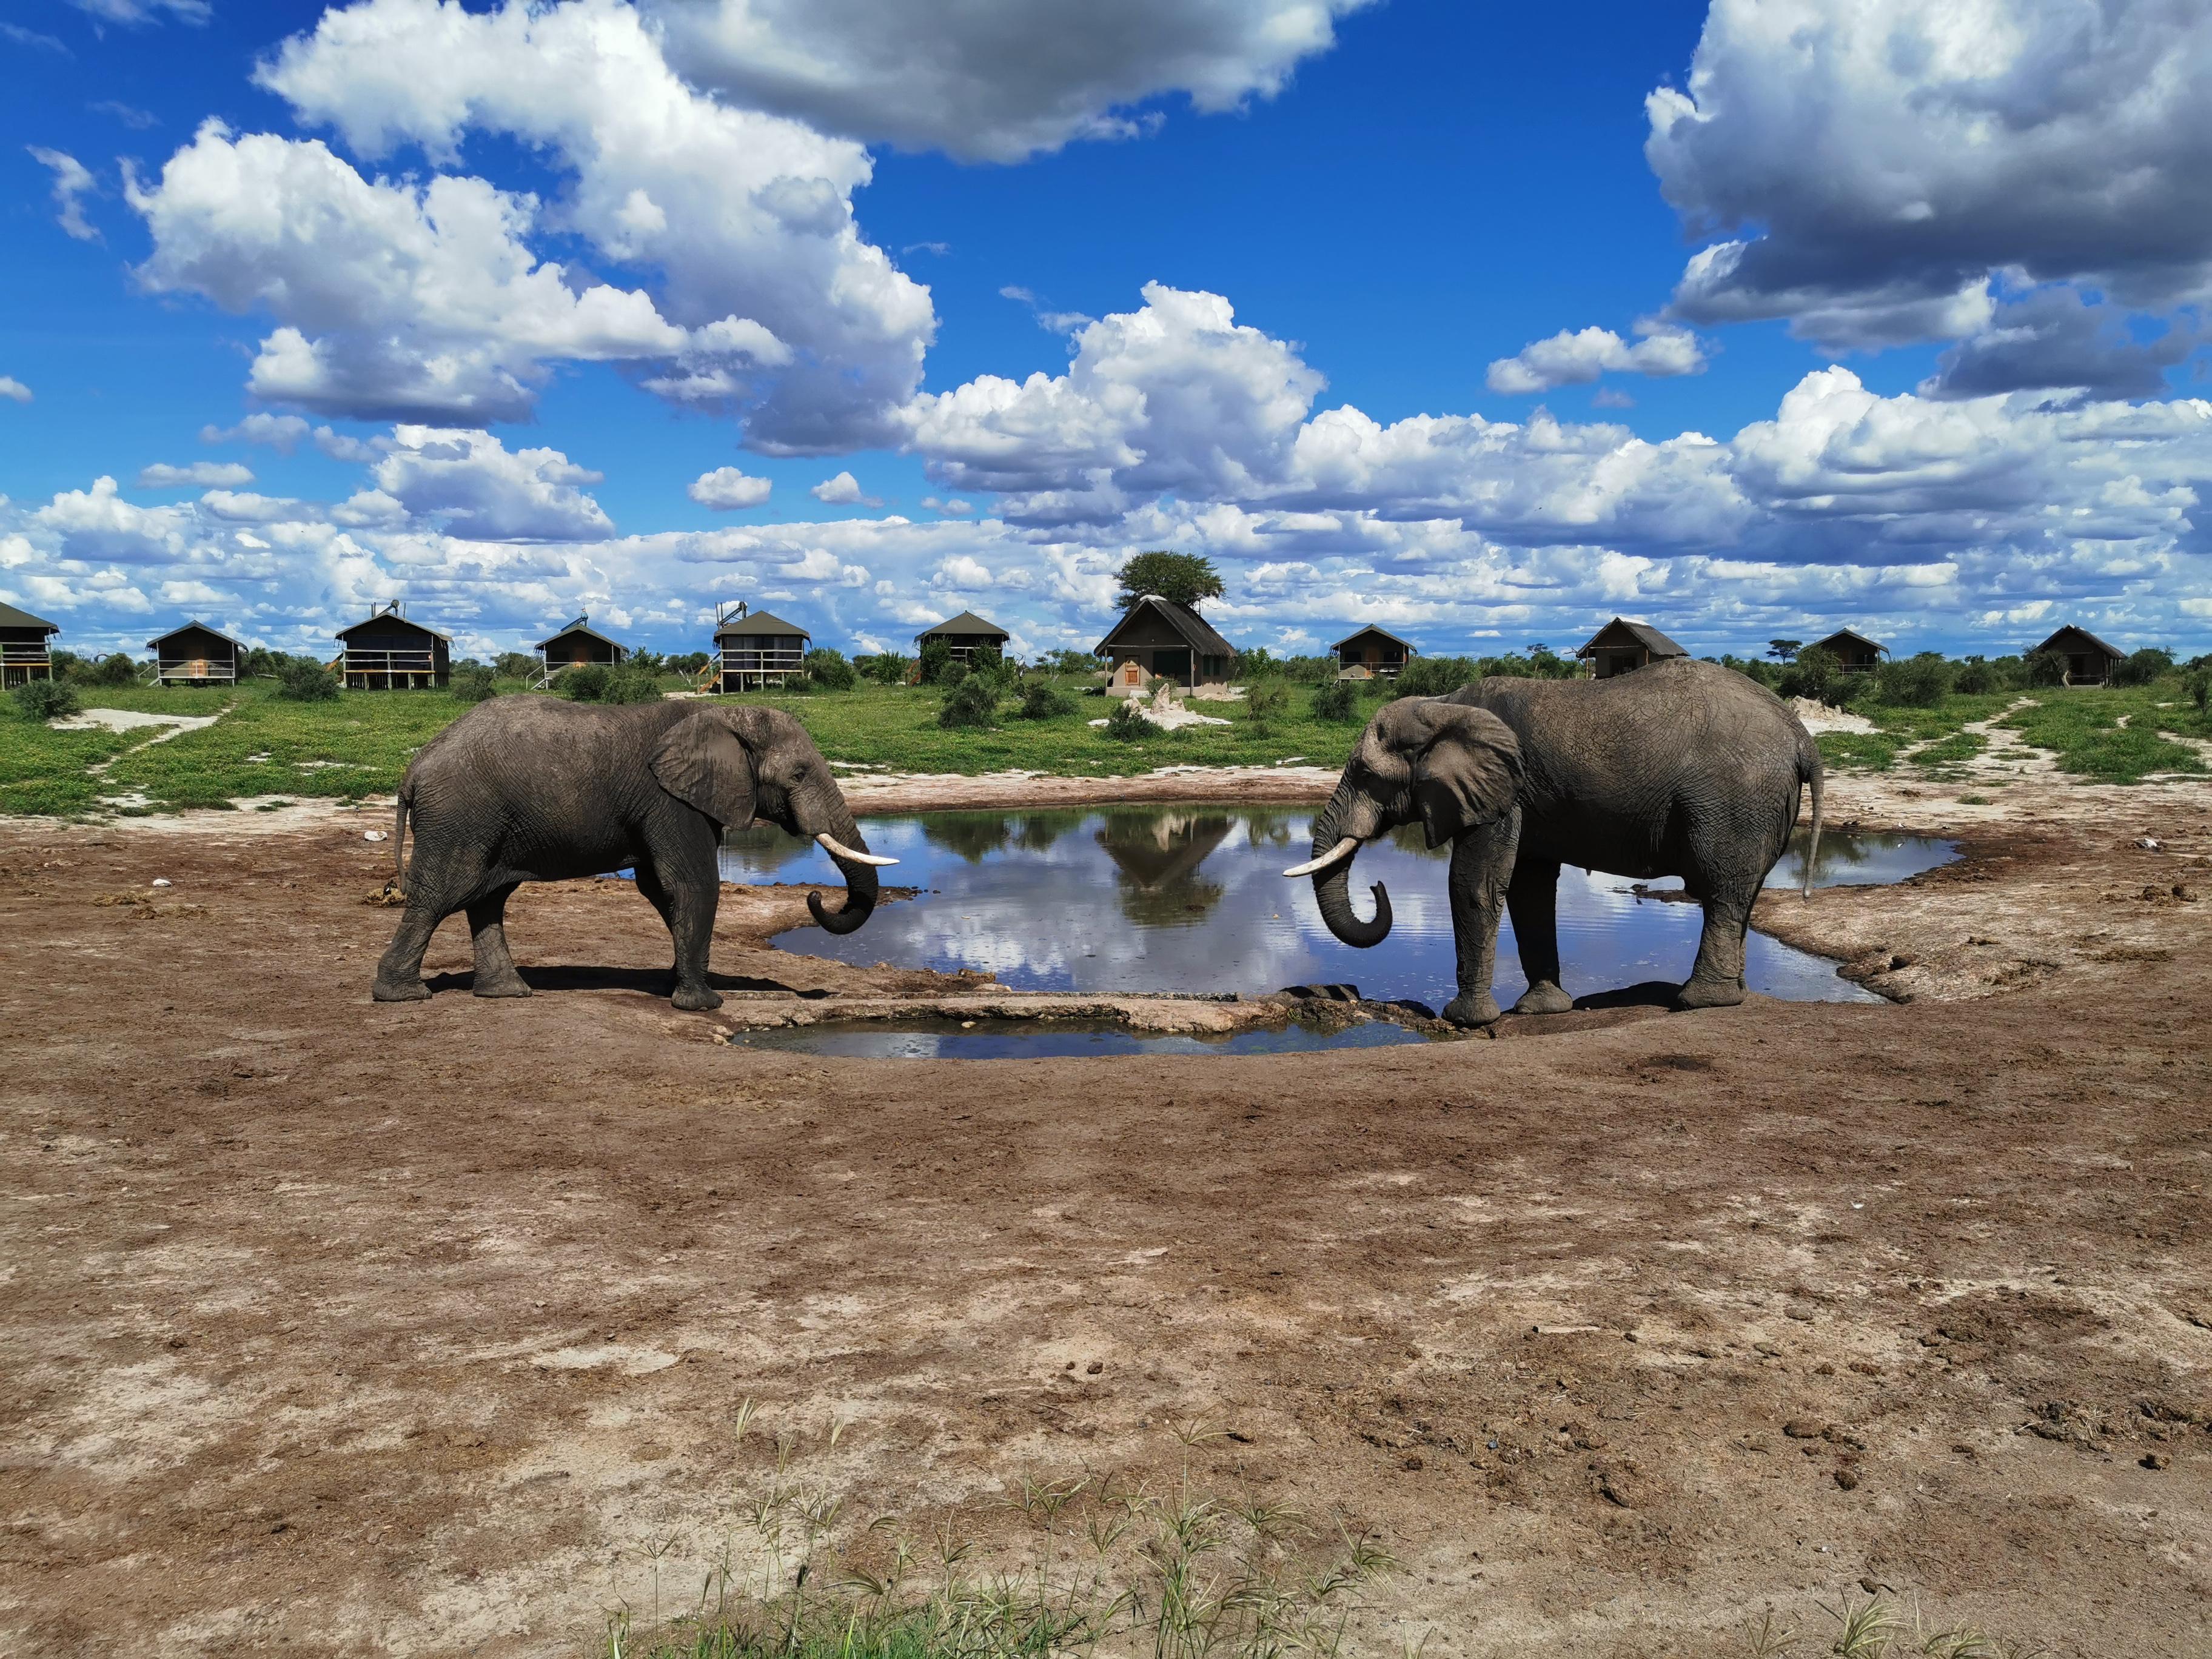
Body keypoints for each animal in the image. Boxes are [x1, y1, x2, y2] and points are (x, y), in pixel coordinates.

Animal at [371, 694, 889, 1008]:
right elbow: (693, 883)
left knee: (487, 898)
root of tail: (413, 768)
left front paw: (674, 984)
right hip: (462, 816)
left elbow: (661, 890)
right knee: (443, 895)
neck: (723, 714)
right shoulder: (671, 802)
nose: (815, 897)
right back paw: (404, 996)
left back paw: (508, 994)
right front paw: (704, 1004)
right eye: (799, 774)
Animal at [1292, 659, 1822, 1026]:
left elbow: (1474, 884)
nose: (1377, 886)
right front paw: (1542, 1010)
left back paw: (1699, 1001)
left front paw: (1463, 1020)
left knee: (1720, 889)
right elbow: (1529, 888)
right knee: (1740, 894)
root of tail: (1802, 736)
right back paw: (1735, 995)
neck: (1442, 705)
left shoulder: (1503, 794)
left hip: (1735, 801)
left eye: (1365, 774)